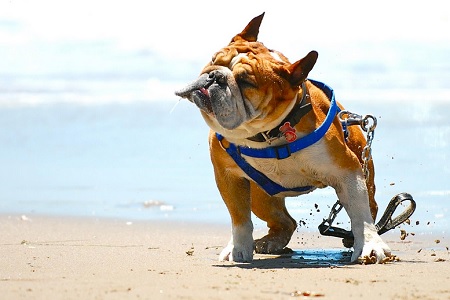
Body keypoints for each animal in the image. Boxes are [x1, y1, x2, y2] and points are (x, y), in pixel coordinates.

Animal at [176, 13, 390, 262]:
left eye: (246, 82)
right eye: (214, 59)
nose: (214, 75)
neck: (266, 134)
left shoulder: (347, 172)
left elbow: (359, 214)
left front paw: (369, 244)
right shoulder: (228, 177)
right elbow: (239, 217)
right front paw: (237, 248)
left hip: (365, 171)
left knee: (371, 207)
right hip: (260, 197)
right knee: (284, 222)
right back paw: (270, 241)